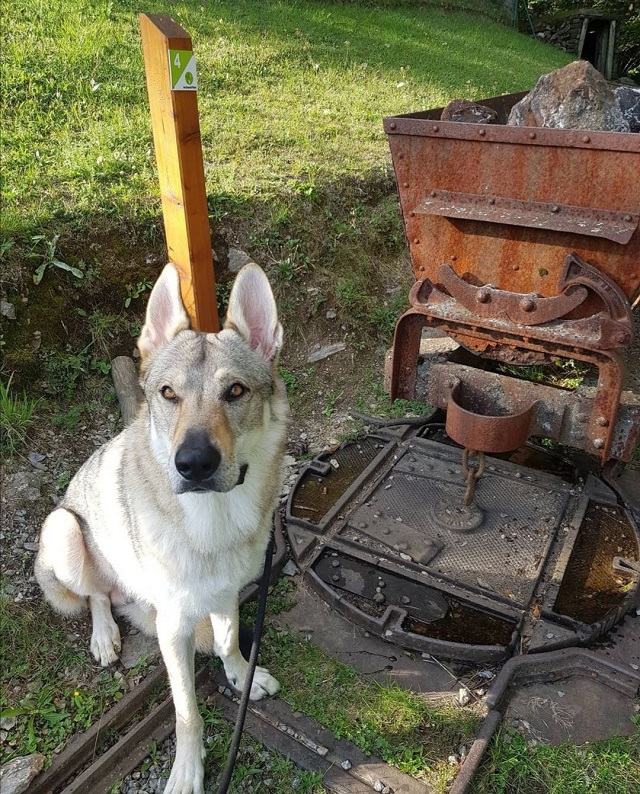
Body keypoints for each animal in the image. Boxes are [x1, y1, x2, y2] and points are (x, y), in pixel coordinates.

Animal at [32, 262, 288, 792]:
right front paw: (188, 770)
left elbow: (230, 640)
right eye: (168, 394)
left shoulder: (227, 594)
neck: (214, 524)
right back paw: (104, 636)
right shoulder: (174, 629)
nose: (193, 464)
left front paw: (242, 676)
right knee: (96, 594)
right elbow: (187, 711)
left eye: (235, 391)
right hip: (63, 530)